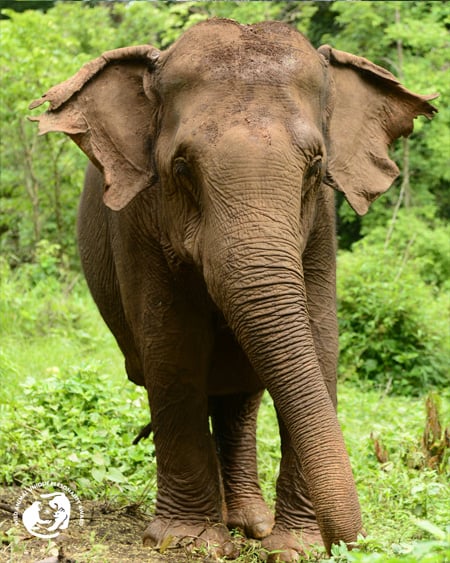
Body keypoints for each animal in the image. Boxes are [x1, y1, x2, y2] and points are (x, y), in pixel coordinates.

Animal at [28, 18, 436, 563]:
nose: (352, 544)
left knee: (237, 397)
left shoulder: (322, 228)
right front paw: (186, 542)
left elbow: (320, 342)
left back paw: (250, 524)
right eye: (181, 169)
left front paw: (295, 549)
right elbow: (173, 347)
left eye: (315, 168)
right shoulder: (138, 224)